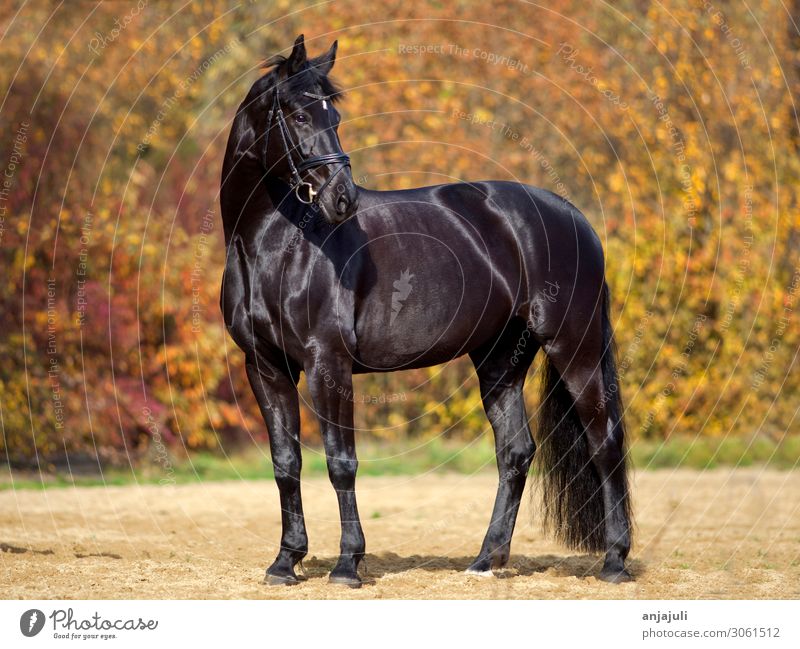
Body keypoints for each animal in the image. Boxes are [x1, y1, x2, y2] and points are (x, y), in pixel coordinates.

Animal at [219, 35, 632, 584]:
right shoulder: (265, 365)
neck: (274, 245)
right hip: (500, 358)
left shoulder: (328, 362)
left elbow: (341, 462)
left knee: (604, 441)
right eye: (300, 115)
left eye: (335, 117)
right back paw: (485, 559)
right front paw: (286, 562)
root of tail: (573, 218)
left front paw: (348, 564)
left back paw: (614, 561)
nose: (343, 199)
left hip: (574, 345)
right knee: (516, 452)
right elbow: (286, 463)